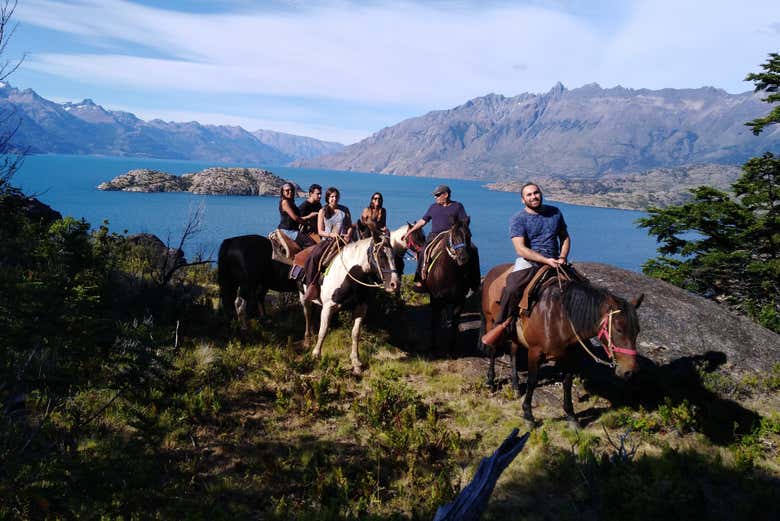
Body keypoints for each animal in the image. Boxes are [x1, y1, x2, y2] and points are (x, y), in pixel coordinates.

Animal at [304, 232, 400, 374]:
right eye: (381, 255)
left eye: (393, 256)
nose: (395, 284)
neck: (349, 275)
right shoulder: (328, 307)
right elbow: (324, 330)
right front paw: (316, 354)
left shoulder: (361, 307)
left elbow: (355, 333)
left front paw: (356, 361)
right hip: (304, 297)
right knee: (308, 315)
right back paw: (307, 340)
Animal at [420, 219, 482, 354]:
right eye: (454, 236)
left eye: (469, 235)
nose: (463, 258)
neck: (450, 274)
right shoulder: (436, 299)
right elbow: (434, 321)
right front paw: (433, 346)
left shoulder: (460, 300)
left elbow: (455, 323)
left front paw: (452, 348)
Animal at [478, 264, 644, 422]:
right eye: (618, 329)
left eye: (637, 331)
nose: (630, 371)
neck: (561, 317)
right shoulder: (535, 352)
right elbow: (532, 380)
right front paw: (528, 414)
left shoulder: (569, 356)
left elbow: (567, 382)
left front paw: (571, 415)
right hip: (491, 321)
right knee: (493, 350)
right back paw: (491, 381)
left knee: (513, 351)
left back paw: (515, 384)